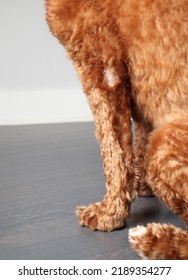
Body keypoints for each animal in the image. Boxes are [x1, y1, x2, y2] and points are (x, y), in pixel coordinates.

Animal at [45, 0, 188, 260]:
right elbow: (137, 141)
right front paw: (142, 187)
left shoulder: (104, 69)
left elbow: (113, 155)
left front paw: (109, 213)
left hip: (164, 142)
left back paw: (153, 239)